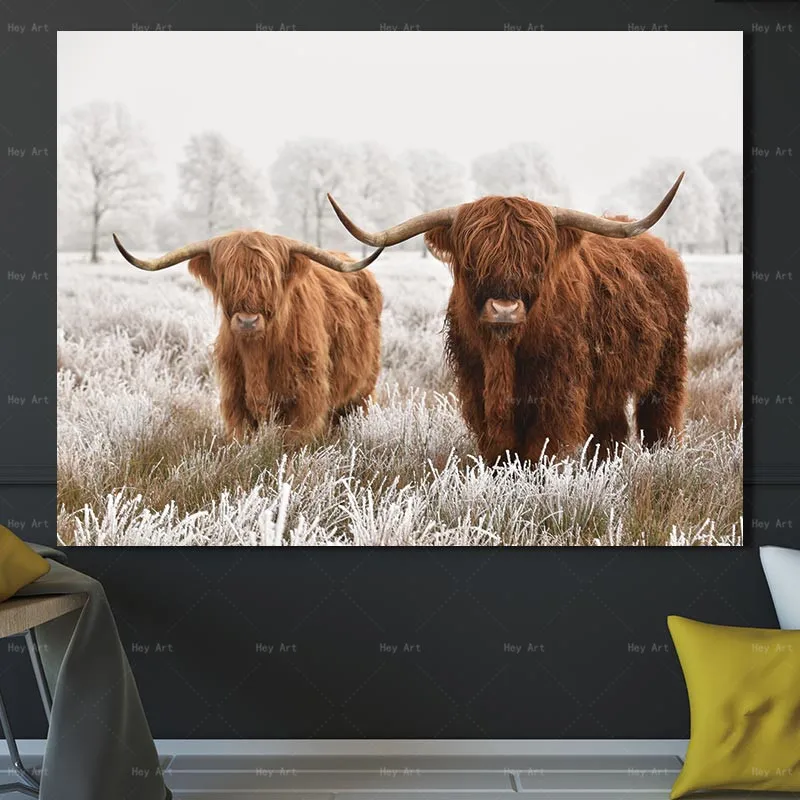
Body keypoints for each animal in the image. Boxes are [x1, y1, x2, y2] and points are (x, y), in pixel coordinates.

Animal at [113, 230, 384, 445]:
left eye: (270, 279)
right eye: (226, 278)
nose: (247, 321)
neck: (258, 355)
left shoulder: (306, 400)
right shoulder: (235, 399)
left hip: (362, 391)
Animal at [324, 174, 688, 465]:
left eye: (537, 262)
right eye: (472, 261)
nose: (504, 309)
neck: (504, 354)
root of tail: (663, 250)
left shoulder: (558, 391)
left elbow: (541, 448)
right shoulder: (476, 386)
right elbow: (500, 450)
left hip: (667, 366)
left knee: (659, 417)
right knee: (611, 430)